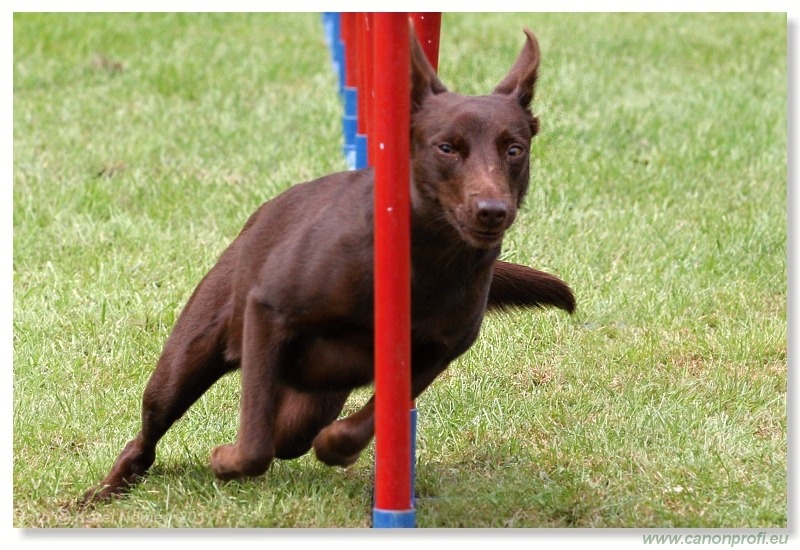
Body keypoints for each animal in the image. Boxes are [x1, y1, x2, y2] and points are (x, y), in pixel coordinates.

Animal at [81, 27, 572, 508]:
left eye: (514, 149)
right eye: (447, 148)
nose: (492, 211)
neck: (431, 258)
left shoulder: (434, 352)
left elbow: (369, 420)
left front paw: (338, 447)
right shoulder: (267, 314)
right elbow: (253, 445)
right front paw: (225, 460)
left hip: (314, 399)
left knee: (288, 437)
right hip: (185, 361)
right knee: (151, 434)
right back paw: (106, 490)